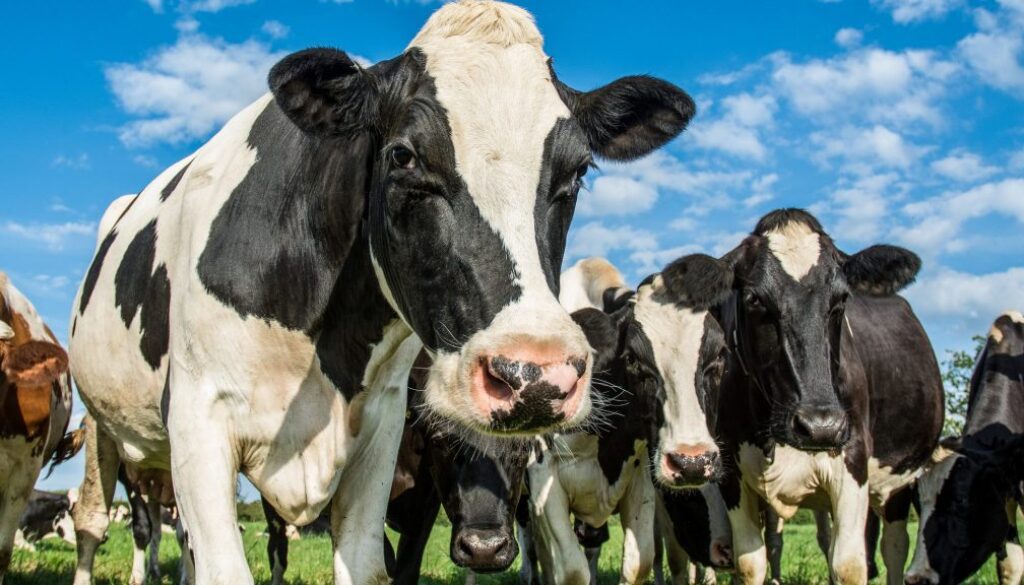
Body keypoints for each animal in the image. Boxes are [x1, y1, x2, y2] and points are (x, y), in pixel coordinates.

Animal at [68, 2, 695, 583]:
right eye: (404, 155)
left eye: (578, 171)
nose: (535, 375)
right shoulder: (198, 416)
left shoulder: (382, 428)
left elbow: (370, 565)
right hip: (104, 425)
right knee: (101, 522)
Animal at [524, 255, 734, 585]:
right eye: (633, 359)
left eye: (720, 356)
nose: (692, 463)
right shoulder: (543, 476)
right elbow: (571, 570)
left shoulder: (640, 479)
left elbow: (639, 562)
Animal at [712, 208, 943, 585]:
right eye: (755, 299)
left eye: (841, 299)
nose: (820, 426)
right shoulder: (732, 470)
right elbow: (749, 564)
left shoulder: (854, 459)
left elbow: (848, 565)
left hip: (898, 482)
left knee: (893, 547)